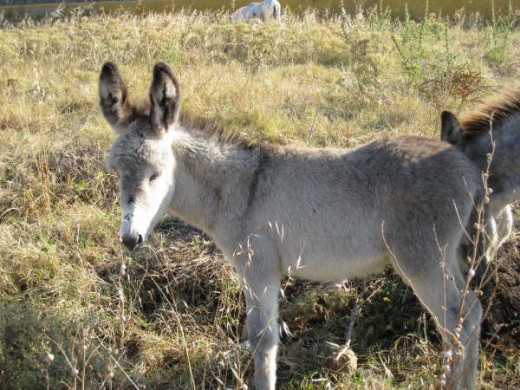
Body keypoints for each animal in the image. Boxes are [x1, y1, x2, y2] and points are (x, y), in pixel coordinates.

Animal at [99, 62, 486, 388]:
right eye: (116, 173)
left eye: (156, 174)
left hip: (422, 261)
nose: (129, 239)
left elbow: (262, 339)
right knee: (472, 313)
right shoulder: (261, 272)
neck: (238, 189)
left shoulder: (257, 268)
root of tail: (467, 168)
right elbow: (265, 336)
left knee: (458, 320)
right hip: (449, 257)